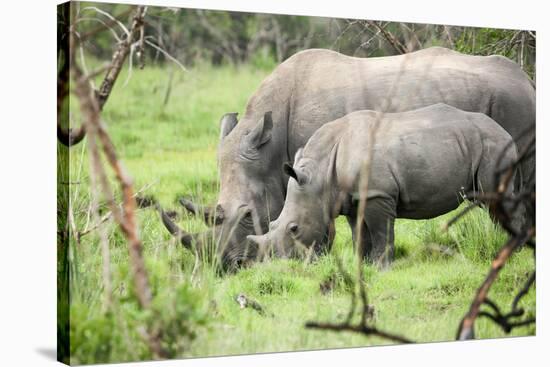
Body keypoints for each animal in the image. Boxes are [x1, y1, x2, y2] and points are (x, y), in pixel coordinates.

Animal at [248, 103, 520, 268]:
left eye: (294, 228)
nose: (281, 264)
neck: (320, 173)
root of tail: (507, 133)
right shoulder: (352, 198)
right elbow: (360, 234)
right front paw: (363, 265)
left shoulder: (377, 194)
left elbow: (381, 232)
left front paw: (381, 267)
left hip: (494, 146)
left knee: (497, 200)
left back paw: (512, 251)